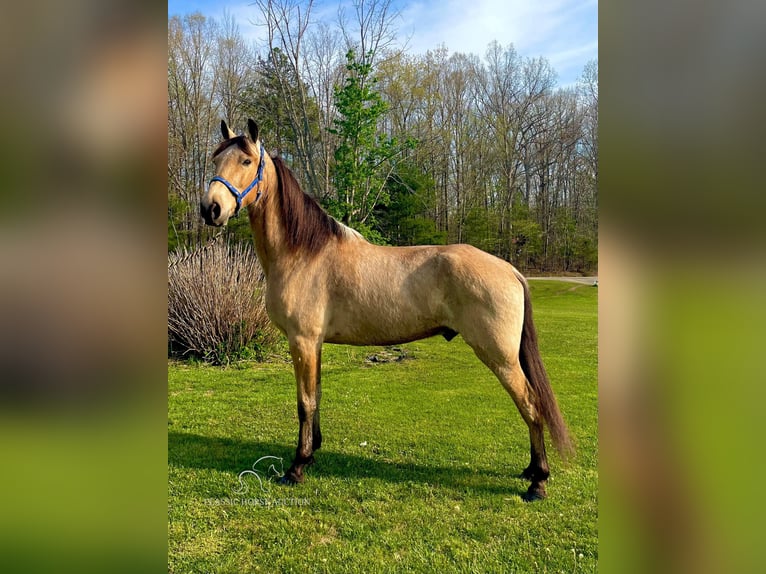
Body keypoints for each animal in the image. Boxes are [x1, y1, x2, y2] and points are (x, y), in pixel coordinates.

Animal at [201, 119, 572, 502]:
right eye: (216, 159)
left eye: (246, 161)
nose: (210, 209)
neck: (302, 253)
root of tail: (511, 270)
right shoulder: (313, 344)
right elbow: (316, 396)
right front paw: (313, 452)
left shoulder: (301, 341)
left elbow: (304, 402)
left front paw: (297, 466)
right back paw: (531, 470)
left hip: (501, 357)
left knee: (531, 404)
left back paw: (538, 482)